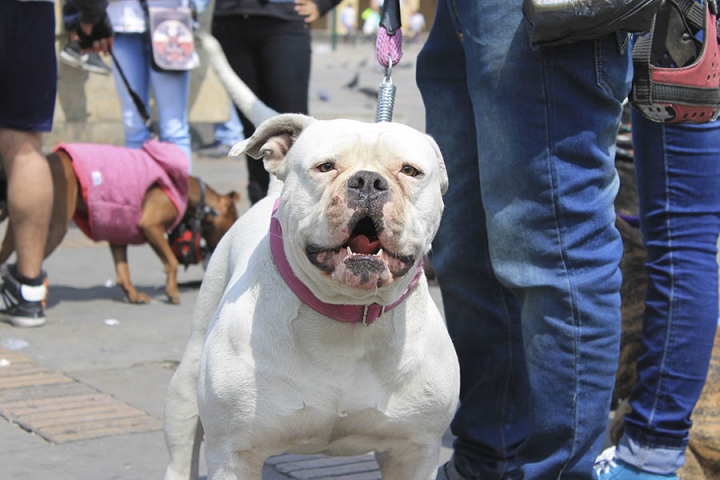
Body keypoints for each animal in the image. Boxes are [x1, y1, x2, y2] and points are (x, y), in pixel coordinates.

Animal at [0, 147, 240, 304]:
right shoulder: (150, 227)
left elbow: (123, 271)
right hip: (54, 228)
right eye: (232, 224)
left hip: (19, 224)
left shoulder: (117, 236)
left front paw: (132, 295)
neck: (191, 192)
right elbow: (171, 261)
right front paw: (172, 292)